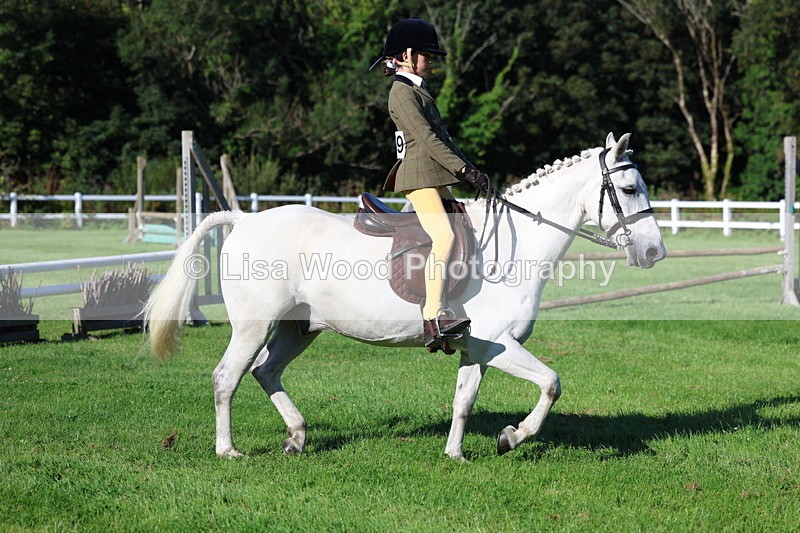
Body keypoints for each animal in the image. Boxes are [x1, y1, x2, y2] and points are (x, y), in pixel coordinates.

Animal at [144, 132, 666, 460]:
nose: (655, 252)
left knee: (265, 371)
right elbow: (552, 384)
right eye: (627, 187)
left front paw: (456, 454)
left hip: (300, 328)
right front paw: (511, 437)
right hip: (253, 327)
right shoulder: (501, 344)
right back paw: (228, 450)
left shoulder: (479, 347)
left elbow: (463, 401)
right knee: (226, 378)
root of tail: (244, 219)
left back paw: (296, 437)